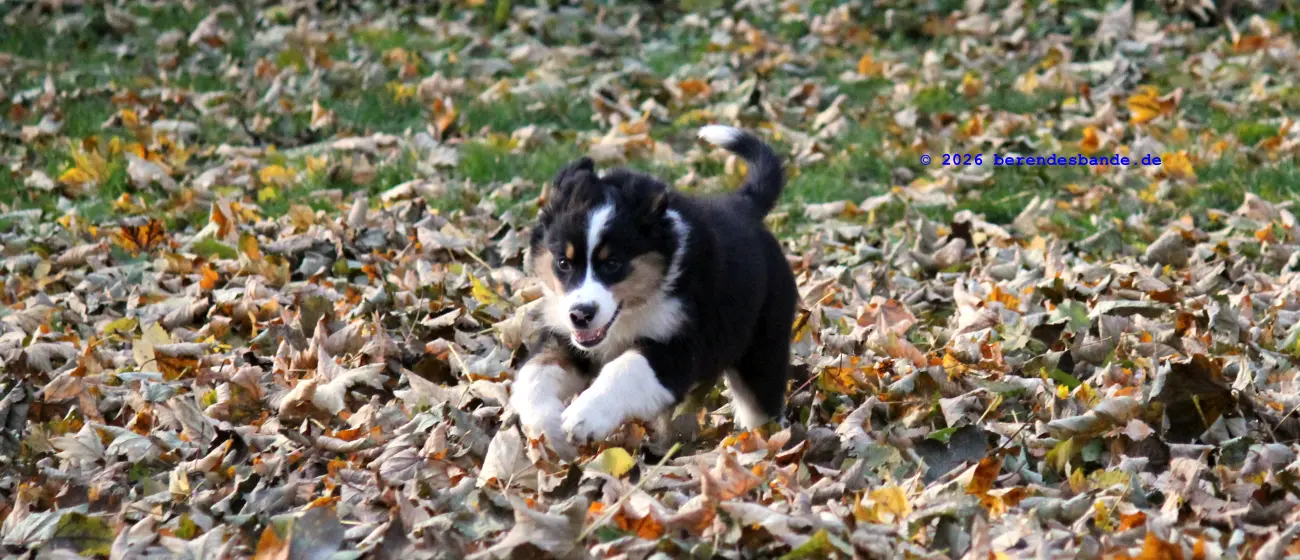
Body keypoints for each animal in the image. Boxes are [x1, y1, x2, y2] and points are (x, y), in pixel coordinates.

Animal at [510, 125, 797, 457]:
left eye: (613, 264)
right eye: (563, 263)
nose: (581, 315)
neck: (632, 312)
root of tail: (744, 206)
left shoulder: (678, 348)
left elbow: (626, 369)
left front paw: (584, 416)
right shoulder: (565, 337)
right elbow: (534, 373)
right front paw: (548, 432)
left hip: (763, 349)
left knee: (762, 405)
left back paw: (762, 444)